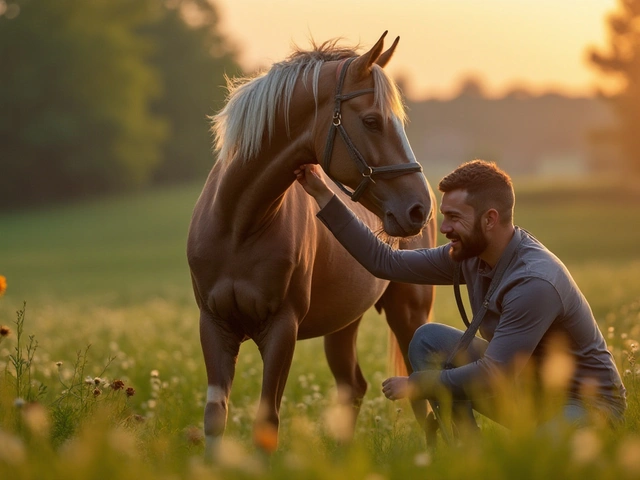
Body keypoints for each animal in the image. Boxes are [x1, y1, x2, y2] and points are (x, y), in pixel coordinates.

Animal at [188, 31, 438, 458]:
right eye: (372, 121)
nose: (418, 208)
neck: (239, 224)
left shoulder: (281, 328)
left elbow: (266, 420)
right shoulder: (214, 325)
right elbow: (215, 416)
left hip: (408, 314)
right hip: (344, 323)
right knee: (353, 387)